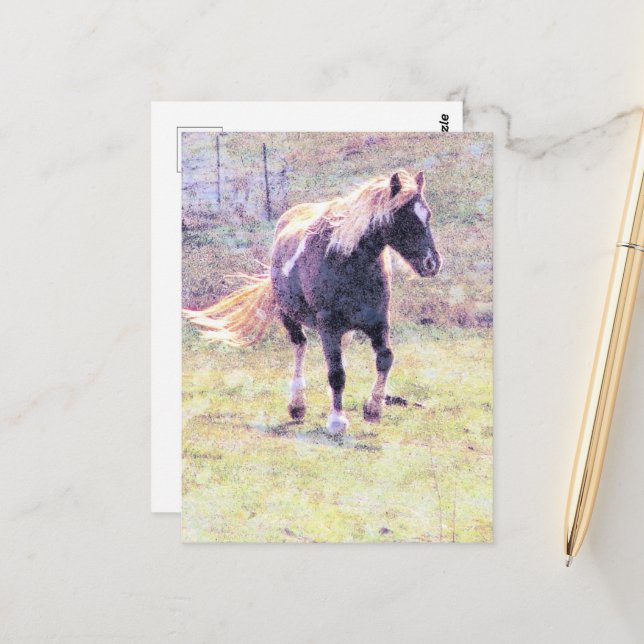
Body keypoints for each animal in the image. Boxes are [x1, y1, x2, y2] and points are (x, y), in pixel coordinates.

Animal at [184, 169, 442, 435]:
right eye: (404, 217)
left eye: (428, 215)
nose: (432, 263)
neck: (347, 260)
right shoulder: (327, 325)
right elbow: (336, 374)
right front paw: (337, 421)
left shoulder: (378, 321)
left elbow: (385, 359)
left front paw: (373, 409)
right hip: (289, 317)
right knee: (300, 346)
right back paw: (297, 405)